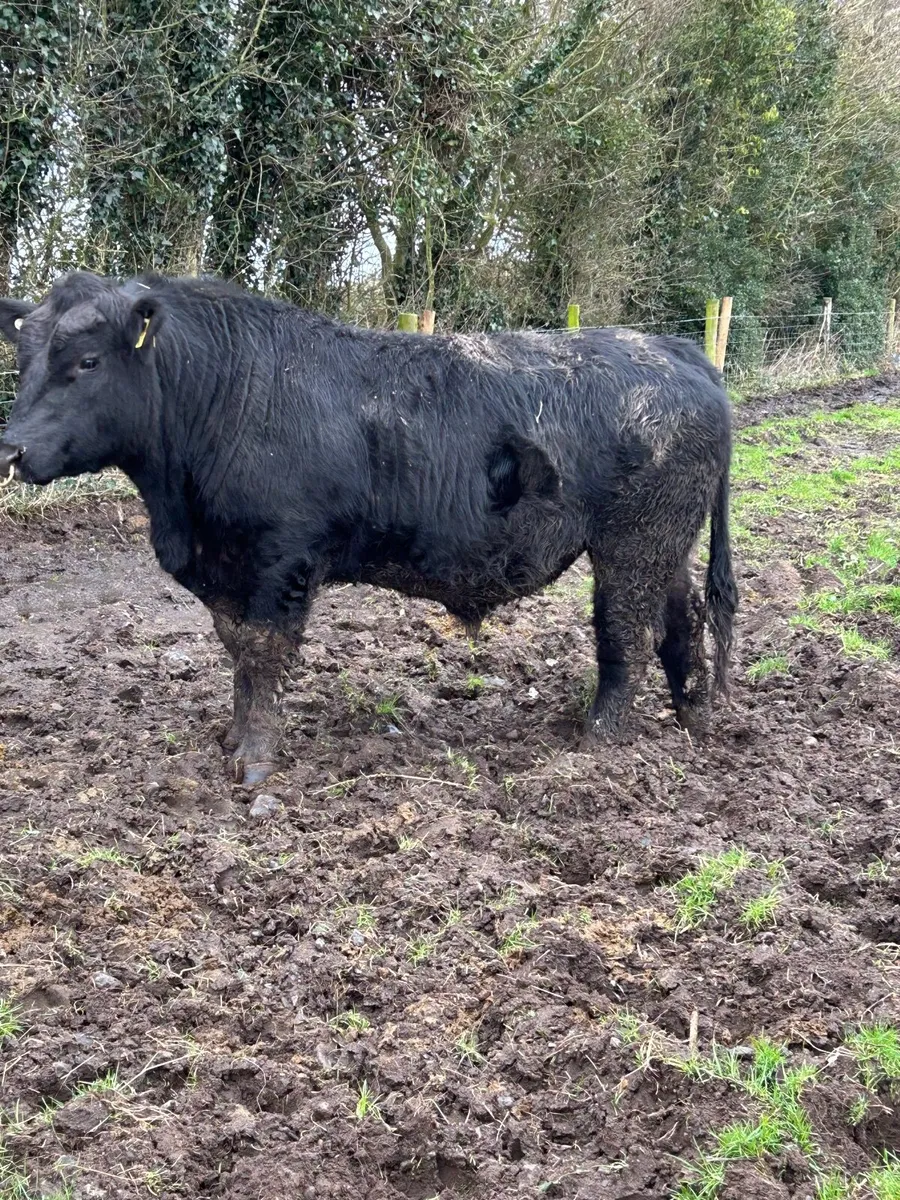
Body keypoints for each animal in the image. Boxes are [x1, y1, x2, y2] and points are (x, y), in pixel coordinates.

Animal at [0, 272, 737, 786]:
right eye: (24, 360)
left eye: (87, 361)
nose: (10, 448)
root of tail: (675, 350)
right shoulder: (231, 572)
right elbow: (237, 654)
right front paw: (232, 741)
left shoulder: (280, 561)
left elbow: (262, 656)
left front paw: (254, 763)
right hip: (665, 545)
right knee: (681, 622)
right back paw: (693, 719)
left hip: (633, 544)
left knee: (628, 634)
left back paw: (599, 742)